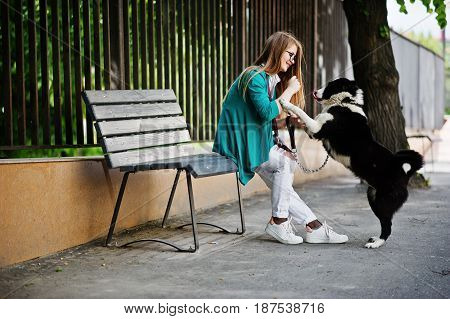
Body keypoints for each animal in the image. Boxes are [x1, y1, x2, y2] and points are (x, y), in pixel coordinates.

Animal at [280, 79, 424, 249]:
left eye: (330, 85)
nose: (314, 91)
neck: (345, 103)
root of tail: (404, 172)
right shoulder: (313, 131)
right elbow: (303, 119)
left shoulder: (317, 128)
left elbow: (302, 113)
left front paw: (285, 103)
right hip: (373, 196)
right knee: (385, 223)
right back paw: (376, 239)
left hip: (383, 202)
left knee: (387, 226)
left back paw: (376, 243)